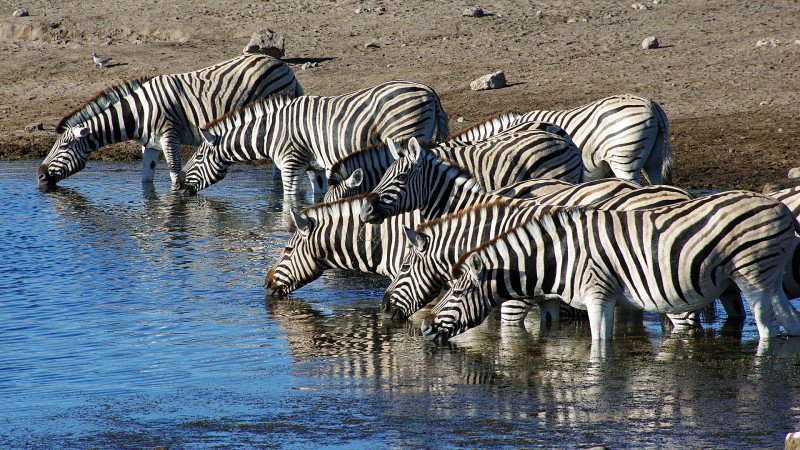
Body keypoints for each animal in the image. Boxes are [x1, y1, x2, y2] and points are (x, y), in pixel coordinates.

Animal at [36, 53, 304, 187]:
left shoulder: (169, 136)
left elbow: (175, 174)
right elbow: (146, 179)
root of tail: (283, 66)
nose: (39, 176)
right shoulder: (150, 145)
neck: (138, 113)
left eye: (63, 147)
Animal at [177, 80, 450, 201]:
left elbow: (288, 201)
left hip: (406, 136)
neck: (271, 131)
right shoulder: (313, 168)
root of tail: (428, 90)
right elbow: (317, 196)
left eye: (198, 156)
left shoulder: (290, 164)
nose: (177, 186)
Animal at [418, 190, 800, 342]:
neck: (560, 254)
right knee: (791, 322)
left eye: (456, 292)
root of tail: (779, 209)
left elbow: (599, 346)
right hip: (772, 277)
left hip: (751, 274)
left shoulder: (598, 295)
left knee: (767, 328)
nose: (423, 330)